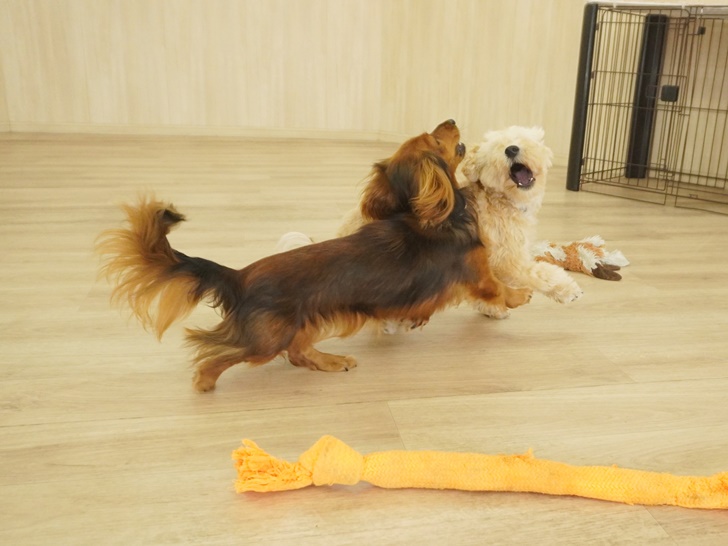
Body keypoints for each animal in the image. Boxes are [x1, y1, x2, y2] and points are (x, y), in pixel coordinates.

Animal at [96, 120, 531, 392]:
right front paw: (520, 295)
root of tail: (239, 275)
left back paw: (331, 361)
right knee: (221, 356)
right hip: (267, 337)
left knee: (298, 354)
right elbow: (498, 288)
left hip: (304, 324)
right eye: (434, 138)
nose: (451, 119)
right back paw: (204, 381)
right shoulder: (478, 272)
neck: (436, 216)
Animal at [458, 126, 583, 309]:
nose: (511, 149)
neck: (503, 201)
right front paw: (567, 288)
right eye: (496, 146)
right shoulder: (505, 260)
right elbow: (539, 273)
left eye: (521, 138)